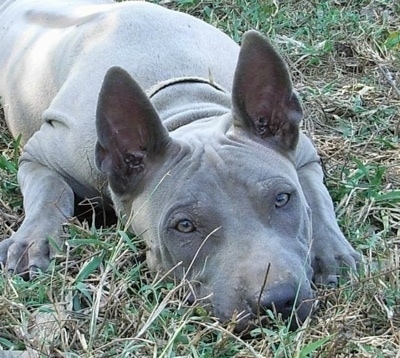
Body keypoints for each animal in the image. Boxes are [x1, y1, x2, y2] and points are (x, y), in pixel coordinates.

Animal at [0, 0, 360, 330]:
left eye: (283, 198)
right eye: (184, 226)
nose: (276, 302)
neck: (184, 105)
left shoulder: (304, 155)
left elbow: (318, 199)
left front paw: (332, 254)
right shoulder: (39, 155)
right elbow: (52, 191)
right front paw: (33, 242)